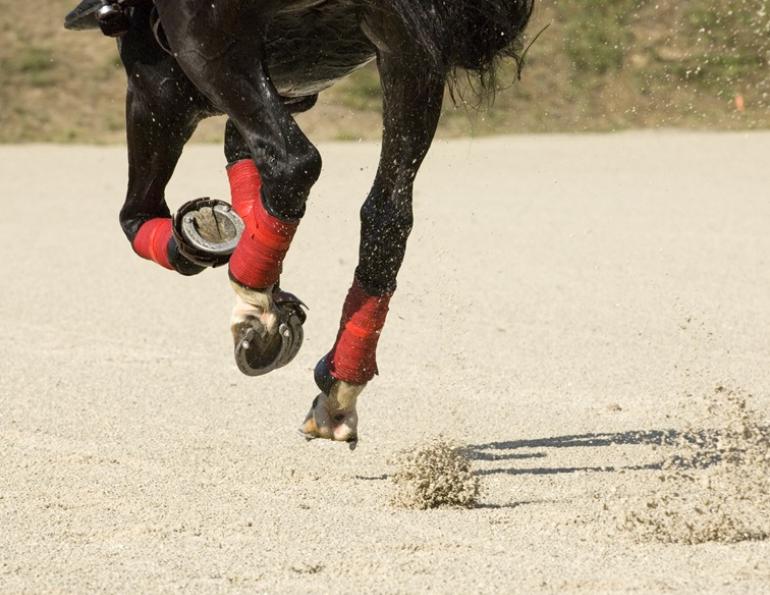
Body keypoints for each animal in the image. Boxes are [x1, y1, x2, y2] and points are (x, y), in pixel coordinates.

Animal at [65, 0, 534, 444]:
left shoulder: (155, 88)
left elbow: (137, 213)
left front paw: (202, 247)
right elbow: (243, 161)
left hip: (206, 49)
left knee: (291, 164)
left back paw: (256, 305)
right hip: (406, 57)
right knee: (387, 214)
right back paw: (338, 386)